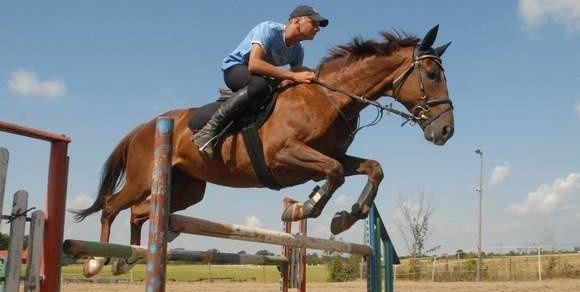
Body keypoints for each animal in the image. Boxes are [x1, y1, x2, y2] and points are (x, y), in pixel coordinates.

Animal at [71, 25, 454, 276]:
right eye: (432, 74)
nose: (446, 131)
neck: (328, 98)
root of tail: (147, 125)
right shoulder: (285, 156)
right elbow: (332, 174)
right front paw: (304, 208)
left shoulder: (333, 157)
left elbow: (373, 168)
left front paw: (345, 217)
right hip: (143, 179)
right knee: (112, 206)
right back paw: (97, 260)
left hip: (187, 189)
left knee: (140, 211)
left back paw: (131, 256)